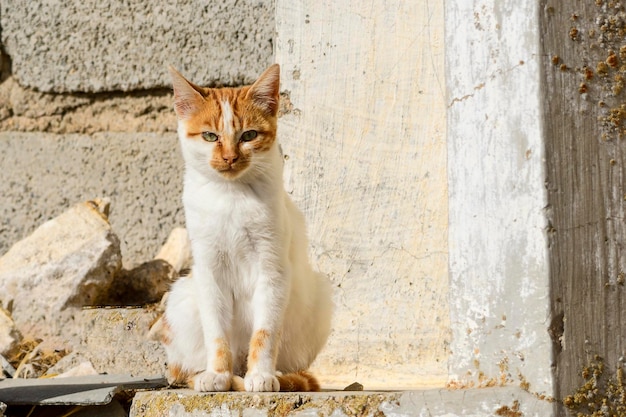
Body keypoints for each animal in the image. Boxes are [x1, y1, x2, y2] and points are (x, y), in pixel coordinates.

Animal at [149, 63, 334, 392]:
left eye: (249, 135)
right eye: (210, 136)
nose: (230, 157)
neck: (231, 196)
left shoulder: (273, 270)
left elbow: (265, 332)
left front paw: (261, 375)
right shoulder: (209, 271)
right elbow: (217, 332)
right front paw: (217, 375)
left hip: (321, 296)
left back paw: (277, 375)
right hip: (183, 295)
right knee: (180, 369)